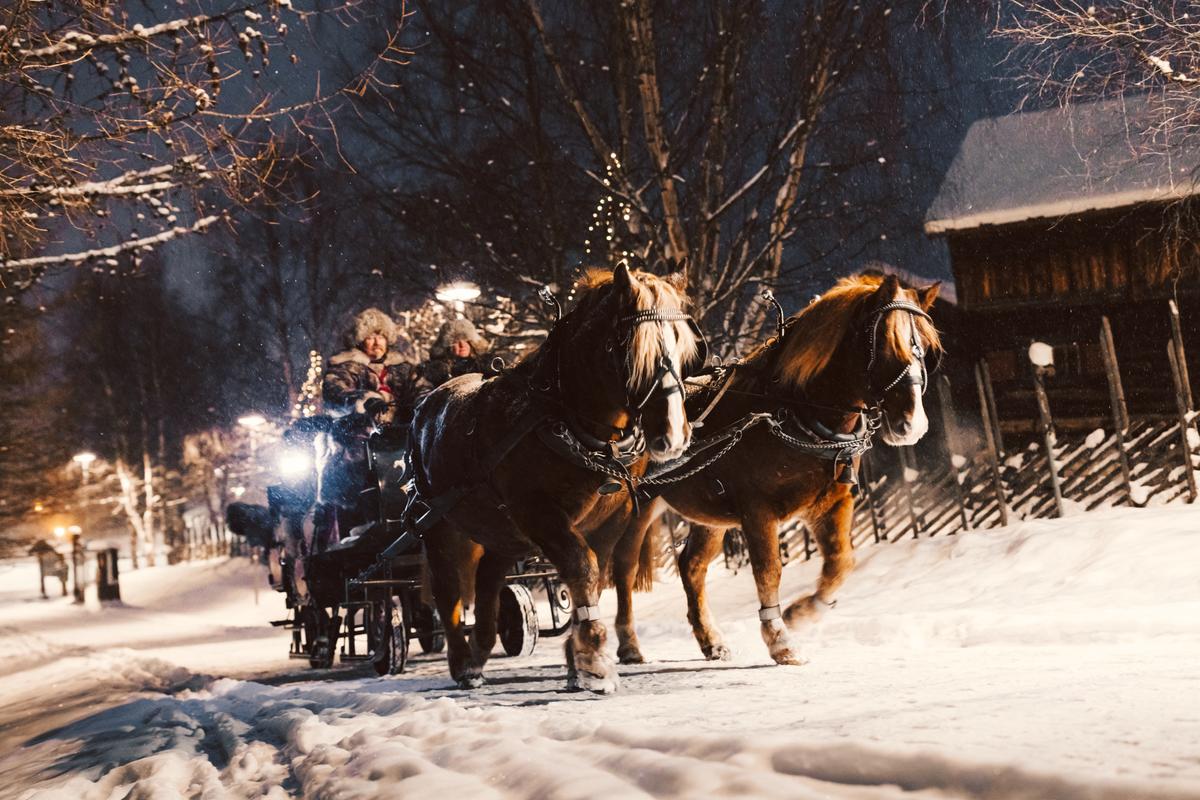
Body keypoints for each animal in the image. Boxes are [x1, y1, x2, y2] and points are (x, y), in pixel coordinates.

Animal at [410, 266, 700, 690]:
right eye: (632, 349)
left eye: (685, 351)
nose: (674, 435)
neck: (571, 422)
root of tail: (426, 405)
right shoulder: (539, 513)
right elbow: (582, 566)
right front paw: (592, 655)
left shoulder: (609, 518)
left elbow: (593, 572)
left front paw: (577, 658)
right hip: (440, 527)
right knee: (449, 590)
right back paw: (463, 664)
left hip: (503, 532)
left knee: (488, 580)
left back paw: (480, 652)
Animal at [614, 272, 940, 666]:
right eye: (888, 343)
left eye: (927, 348)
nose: (913, 425)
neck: (795, 410)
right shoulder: (758, 511)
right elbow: (769, 570)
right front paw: (780, 640)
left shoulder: (831, 503)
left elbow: (841, 562)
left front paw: (803, 612)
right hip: (635, 510)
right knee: (623, 569)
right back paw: (627, 644)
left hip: (708, 517)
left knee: (691, 565)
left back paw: (711, 640)